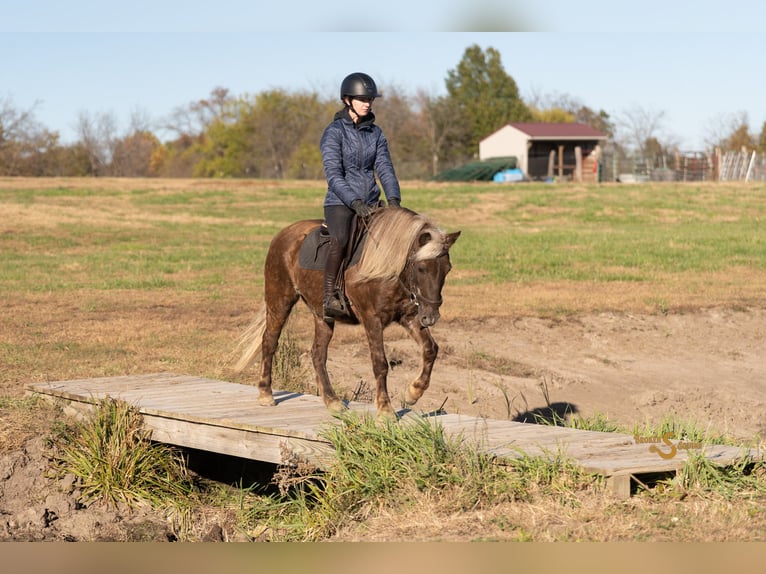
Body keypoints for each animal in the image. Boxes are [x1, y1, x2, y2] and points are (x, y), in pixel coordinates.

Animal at [232, 206, 461, 418]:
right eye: (421, 268)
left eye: (447, 268)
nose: (431, 317)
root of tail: (284, 233)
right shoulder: (372, 319)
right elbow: (380, 363)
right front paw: (385, 411)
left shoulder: (409, 316)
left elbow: (430, 349)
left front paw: (413, 393)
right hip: (280, 300)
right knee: (270, 341)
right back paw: (265, 394)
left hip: (322, 315)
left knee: (317, 354)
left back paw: (332, 401)